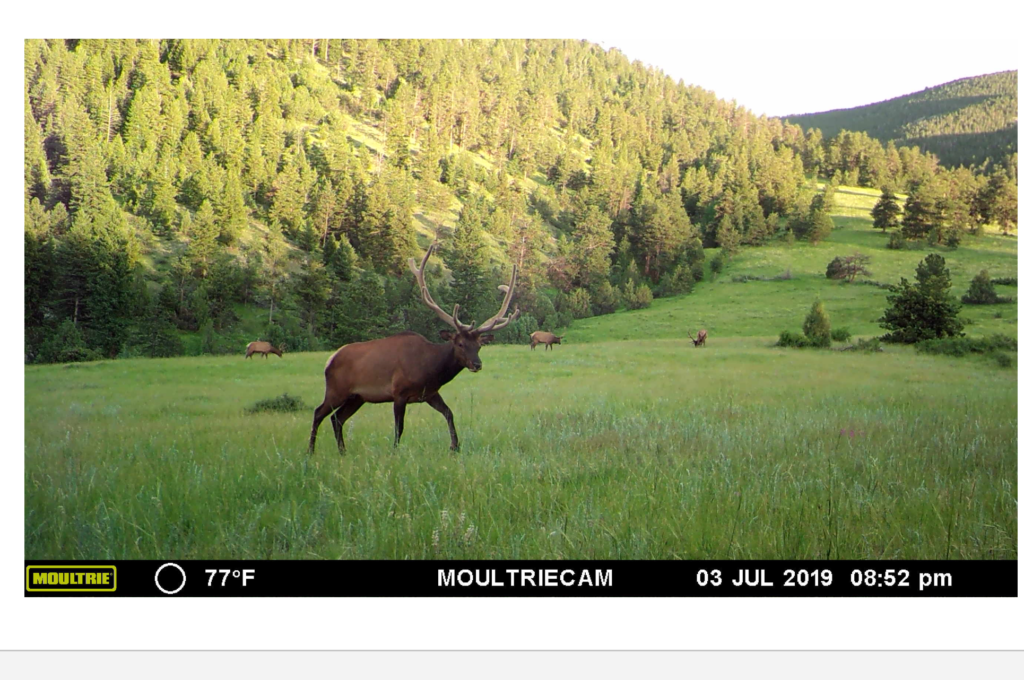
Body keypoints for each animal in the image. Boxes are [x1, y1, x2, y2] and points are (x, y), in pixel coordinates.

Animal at [308, 244, 519, 454]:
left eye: (479, 346)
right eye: (460, 344)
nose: (477, 364)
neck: (430, 369)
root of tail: (330, 360)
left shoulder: (430, 393)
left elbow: (449, 414)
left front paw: (455, 446)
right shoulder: (399, 392)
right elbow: (399, 428)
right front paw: (395, 452)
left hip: (357, 397)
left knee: (337, 418)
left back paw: (342, 451)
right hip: (336, 390)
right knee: (319, 412)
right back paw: (311, 451)